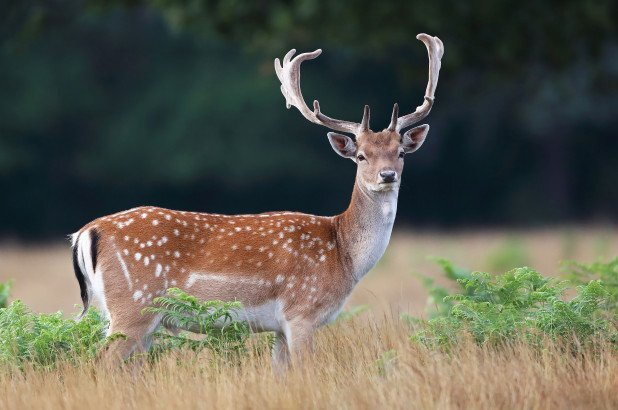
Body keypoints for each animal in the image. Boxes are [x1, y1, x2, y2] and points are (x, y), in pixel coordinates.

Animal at [70, 32, 440, 366]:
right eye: (361, 156)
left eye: (400, 153)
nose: (387, 175)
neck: (343, 254)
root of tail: (86, 232)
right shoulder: (301, 311)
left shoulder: (279, 327)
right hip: (133, 305)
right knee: (99, 362)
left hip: (139, 318)